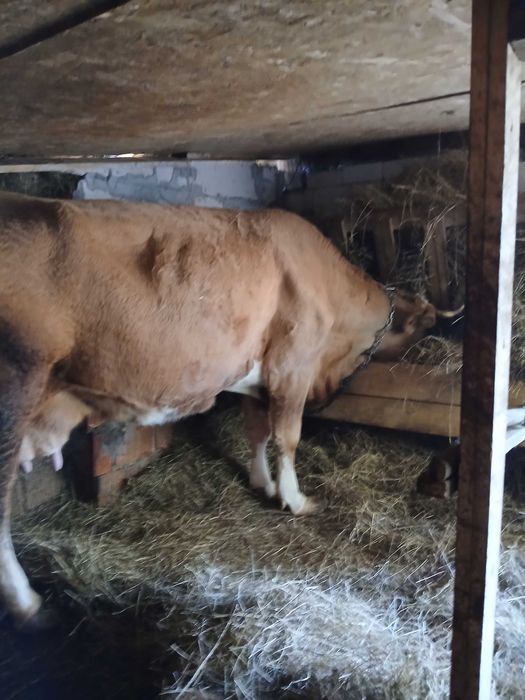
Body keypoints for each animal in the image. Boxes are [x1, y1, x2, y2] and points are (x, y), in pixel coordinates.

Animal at [0, 192, 435, 628]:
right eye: (420, 327)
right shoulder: (293, 362)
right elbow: (287, 437)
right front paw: (294, 499)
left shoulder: (256, 377)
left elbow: (257, 431)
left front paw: (263, 483)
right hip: (14, 395)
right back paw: (26, 601)